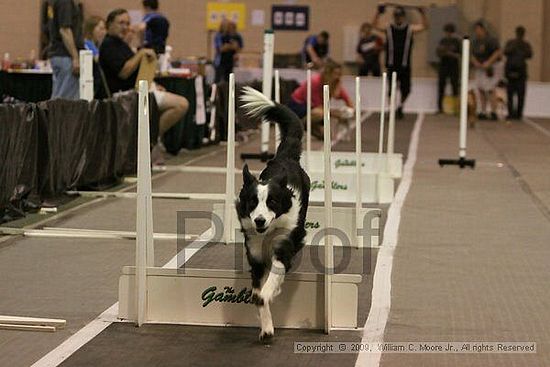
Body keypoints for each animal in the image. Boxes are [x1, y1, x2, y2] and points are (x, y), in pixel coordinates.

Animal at [237, 87, 310, 344]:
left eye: (273, 202)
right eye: (252, 202)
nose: (259, 220)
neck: (268, 232)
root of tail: (284, 157)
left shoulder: (283, 247)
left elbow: (268, 285)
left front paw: (266, 294)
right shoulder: (256, 255)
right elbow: (258, 293)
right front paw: (266, 328)